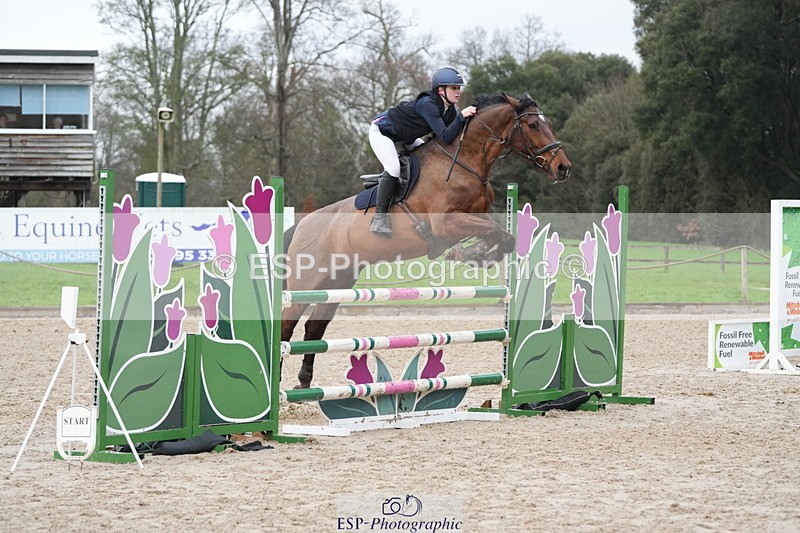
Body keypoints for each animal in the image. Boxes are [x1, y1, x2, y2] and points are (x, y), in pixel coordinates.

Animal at [282, 92, 572, 388]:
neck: (465, 162)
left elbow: (503, 236)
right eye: (533, 126)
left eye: (547, 123)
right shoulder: (445, 225)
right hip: (306, 283)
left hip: (338, 280)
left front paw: (474, 255)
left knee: (314, 326)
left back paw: (304, 382)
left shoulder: (476, 218)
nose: (563, 167)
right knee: (287, 324)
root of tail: (301, 225)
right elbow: (497, 234)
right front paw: (466, 254)